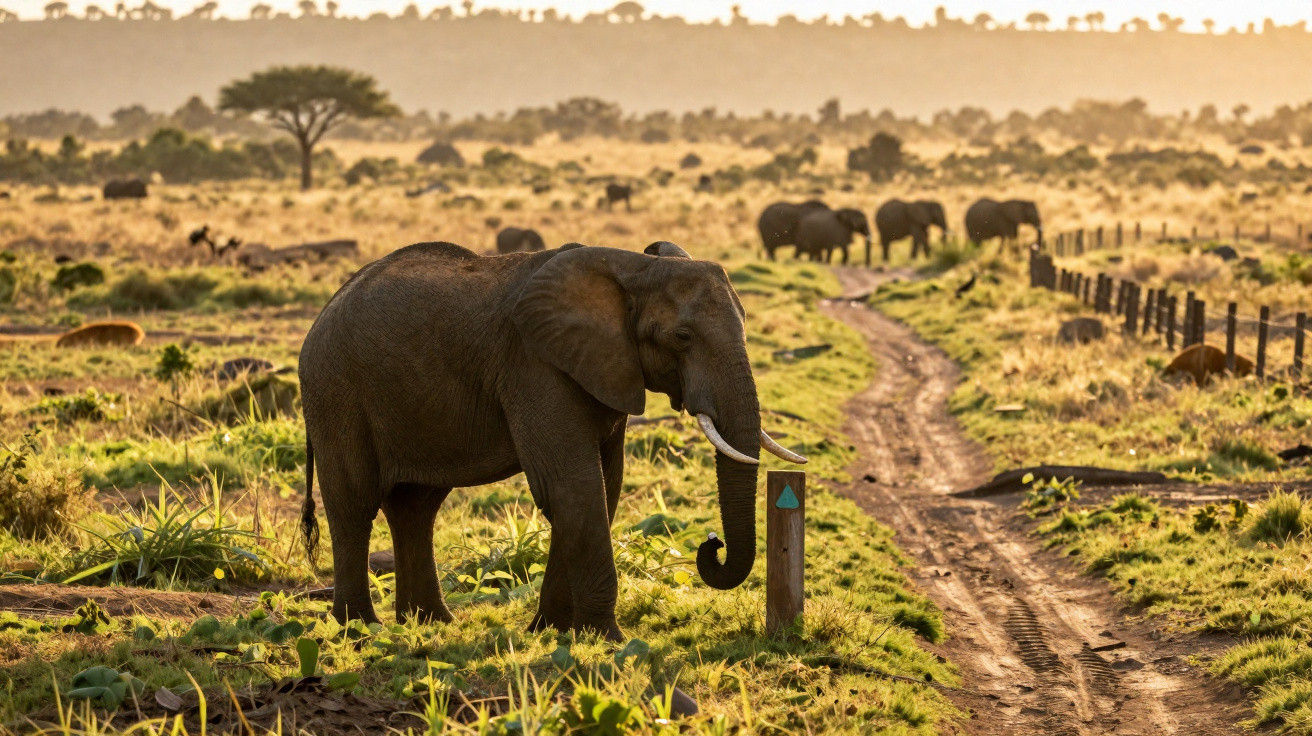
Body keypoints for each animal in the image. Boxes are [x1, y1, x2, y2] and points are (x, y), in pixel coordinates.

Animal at [298, 240, 806, 639]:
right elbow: (572, 486)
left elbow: (602, 487)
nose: (711, 544)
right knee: (354, 504)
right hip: (335, 390)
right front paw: (607, 639)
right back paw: (361, 629)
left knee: (415, 508)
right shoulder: (534, 365)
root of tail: (322, 313)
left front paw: (554, 632)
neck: (633, 268)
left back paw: (430, 624)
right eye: (682, 336)